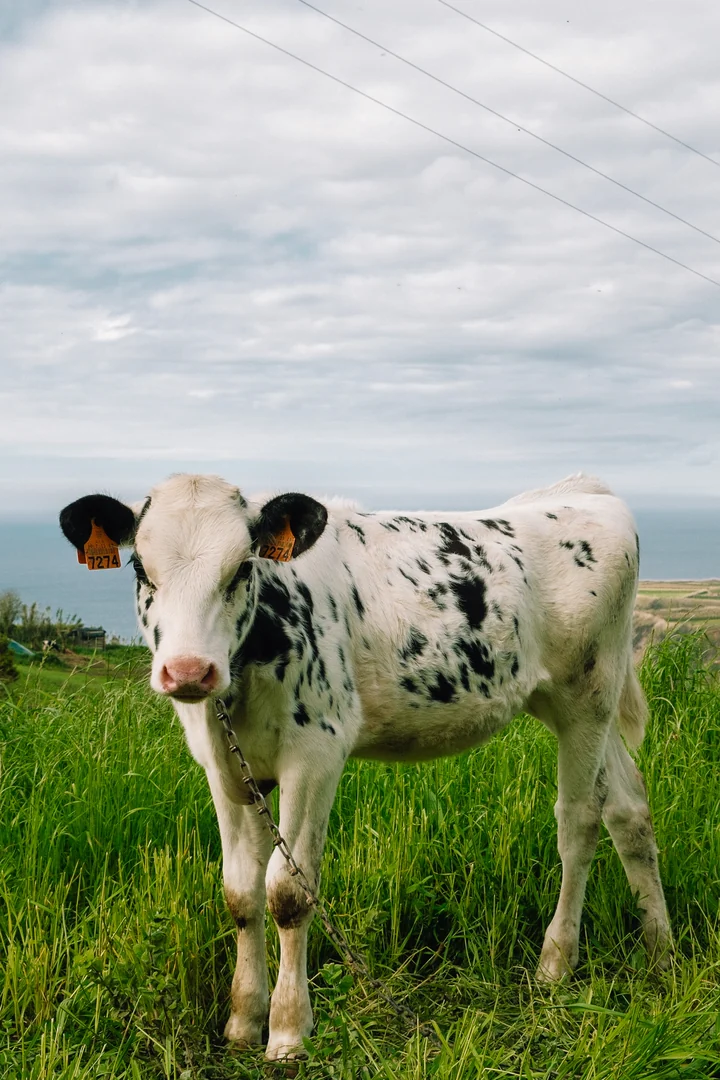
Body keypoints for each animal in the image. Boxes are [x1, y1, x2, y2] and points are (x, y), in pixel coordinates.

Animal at [59, 472, 671, 1060]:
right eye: (140, 566)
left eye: (242, 567)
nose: (189, 670)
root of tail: (583, 491)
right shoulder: (225, 767)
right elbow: (240, 893)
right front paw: (242, 1021)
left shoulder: (316, 754)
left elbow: (288, 892)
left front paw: (288, 1031)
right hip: (570, 704)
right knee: (628, 809)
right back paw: (660, 949)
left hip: (586, 694)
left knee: (580, 819)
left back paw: (556, 964)